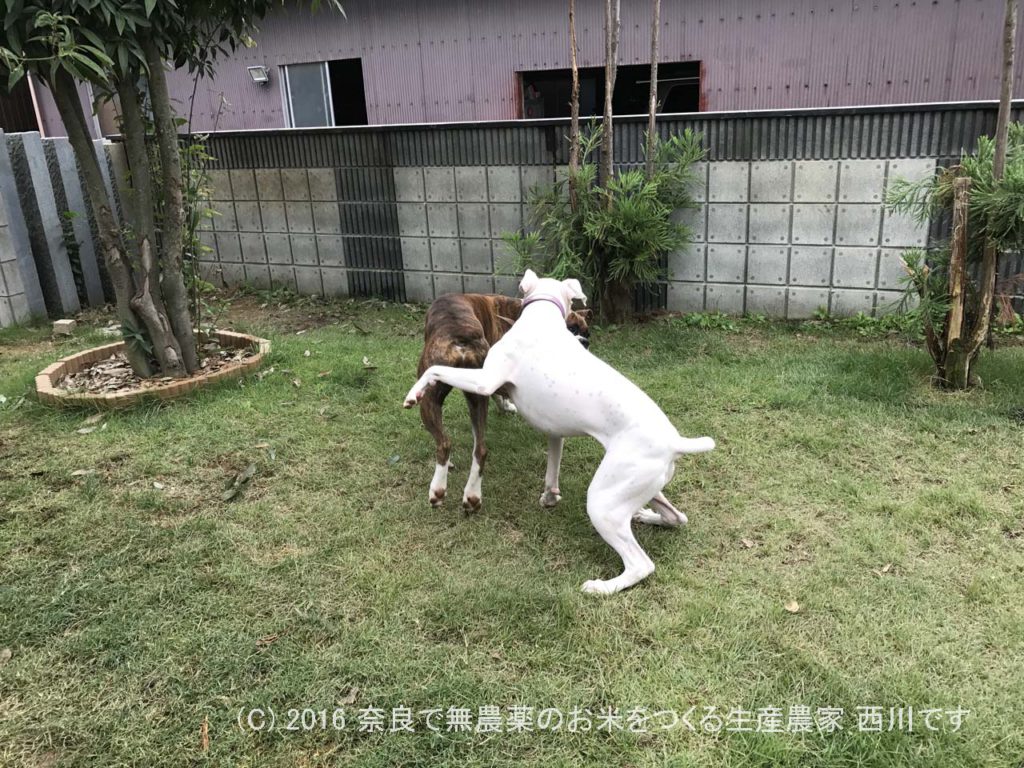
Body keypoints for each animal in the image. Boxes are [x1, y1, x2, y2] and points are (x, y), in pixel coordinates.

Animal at [415, 296, 593, 518]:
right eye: (570, 328)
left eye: (587, 333)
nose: (585, 342)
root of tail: (461, 333)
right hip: (475, 399)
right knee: (480, 449)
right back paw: (472, 496)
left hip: (429, 400)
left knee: (444, 443)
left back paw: (439, 489)